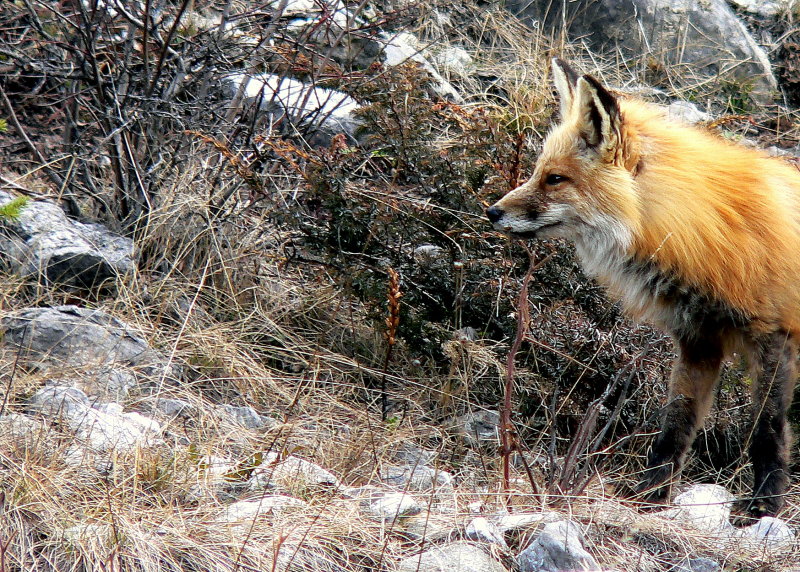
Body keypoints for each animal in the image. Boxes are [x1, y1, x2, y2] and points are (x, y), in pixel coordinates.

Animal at [488, 59, 800, 520]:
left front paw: (763, 508)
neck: (704, 232)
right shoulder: (698, 340)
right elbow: (675, 427)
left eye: (555, 179)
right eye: (538, 172)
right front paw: (649, 497)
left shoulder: (772, 337)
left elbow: (767, 430)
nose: (492, 212)